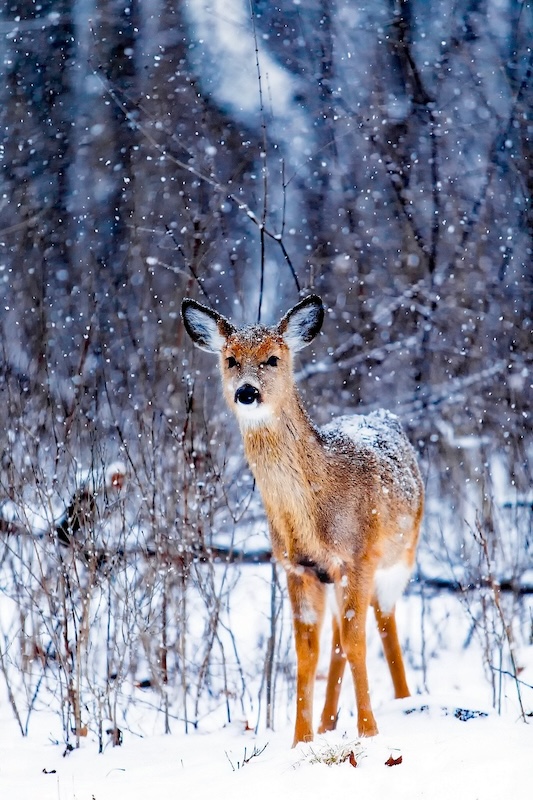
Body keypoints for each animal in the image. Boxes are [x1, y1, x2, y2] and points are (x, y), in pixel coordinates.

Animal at [181, 294, 424, 746]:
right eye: (230, 359)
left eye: (273, 358)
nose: (246, 391)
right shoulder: (297, 567)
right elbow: (307, 653)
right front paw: (301, 740)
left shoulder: (358, 557)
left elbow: (358, 643)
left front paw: (369, 732)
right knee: (338, 640)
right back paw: (329, 722)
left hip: (401, 556)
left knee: (383, 623)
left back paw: (404, 700)